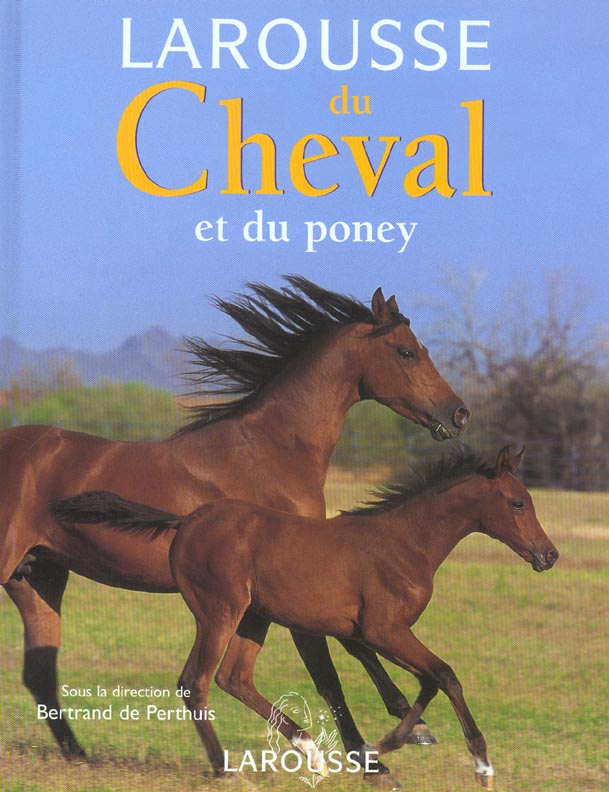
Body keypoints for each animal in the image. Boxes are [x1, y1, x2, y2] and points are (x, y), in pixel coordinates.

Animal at [1, 276, 469, 782]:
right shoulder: (299, 587)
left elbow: (348, 650)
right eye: (406, 352)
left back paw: (79, 756)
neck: (272, 450)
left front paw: (406, 729)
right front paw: (380, 754)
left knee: (41, 674)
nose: (460, 413)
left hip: (38, 578)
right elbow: (331, 670)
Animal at [54, 446, 558, 788]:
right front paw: (479, 765)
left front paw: (388, 747)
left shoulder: (375, 634)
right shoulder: (384, 630)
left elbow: (428, 680)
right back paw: (228, 771)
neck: (406, 543)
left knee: (234, 678)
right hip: (219, 611)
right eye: (517, 503)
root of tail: (186, 521)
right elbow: (445, 674)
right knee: (195, 682)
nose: (548, 555)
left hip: (253, 617)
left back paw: (311, 752)